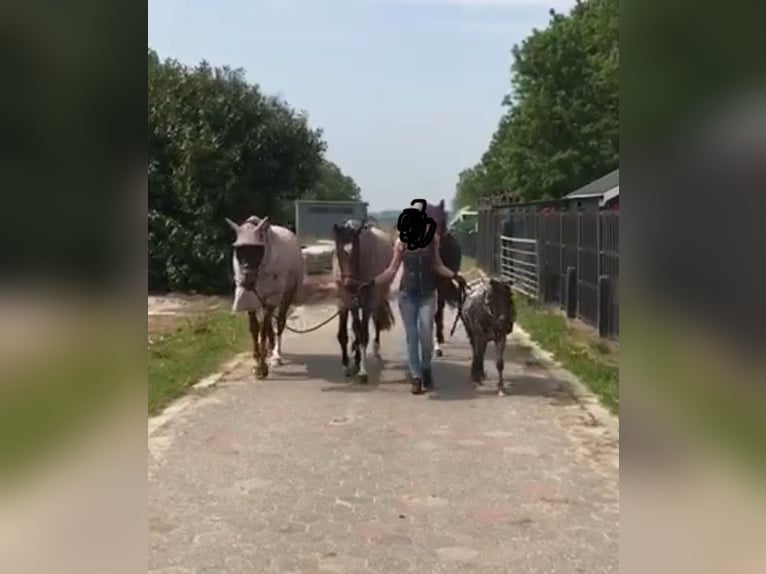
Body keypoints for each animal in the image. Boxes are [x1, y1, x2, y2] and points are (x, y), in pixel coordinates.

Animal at [227, 215, 304, 378]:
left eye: (257, 250)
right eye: (239, 250)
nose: (247, 281)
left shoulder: (272, 298)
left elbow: (263, 328)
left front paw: (262, 366)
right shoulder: (250, 299)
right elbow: (255, 328)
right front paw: (258, 360)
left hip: (286, 294)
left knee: (280, 321)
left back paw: (276, 355)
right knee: (268, 323)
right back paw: (271, 346)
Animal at [332, 219, 395, 383]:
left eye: (357, 253)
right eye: (338, 252)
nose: (349, 285)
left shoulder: (366, 305)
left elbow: (364, 335)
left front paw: (362, 371)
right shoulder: (349, 303)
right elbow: (350, 332)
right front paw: (349, 364)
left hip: (378, 298)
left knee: (376, 322)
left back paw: (375, 350)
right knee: (358, 328)